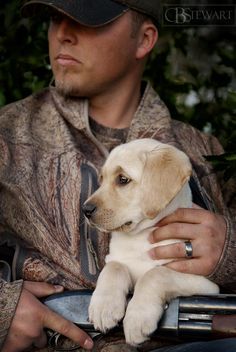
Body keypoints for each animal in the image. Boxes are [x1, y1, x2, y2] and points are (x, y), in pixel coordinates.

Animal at [82, 139, 218, 346]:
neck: (141, 236)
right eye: (101, 179)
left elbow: (155, 274)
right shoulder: (115, 258)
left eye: (123, 179)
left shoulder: (205, 283)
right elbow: (113, 267)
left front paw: (137, 318)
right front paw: (103, 306)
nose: (85, 210)